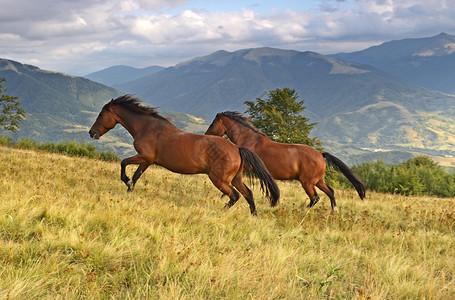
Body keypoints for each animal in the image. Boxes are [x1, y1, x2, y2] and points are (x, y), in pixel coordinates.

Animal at [87, 95, 280, 214]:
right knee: (248, 194)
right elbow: (136, 175)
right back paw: (254, 216)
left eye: (102, 114)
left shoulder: (144, 157)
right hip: (236, 178)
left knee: (235, 196)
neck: (148, 128)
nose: (92, 133)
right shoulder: (147, 161)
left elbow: (123, 163)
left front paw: (126, 182)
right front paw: (129, 190)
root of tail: (237, 149)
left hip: (219, 179)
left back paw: (221, 212)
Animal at [207, 110, 366, 211]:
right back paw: (334, 210)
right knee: (330, 192)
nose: (206, 136)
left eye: (213, 124)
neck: (249, 140)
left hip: (307, 182)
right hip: (318, 181)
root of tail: (321, 155)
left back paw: (303, 209)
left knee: (315, 198)